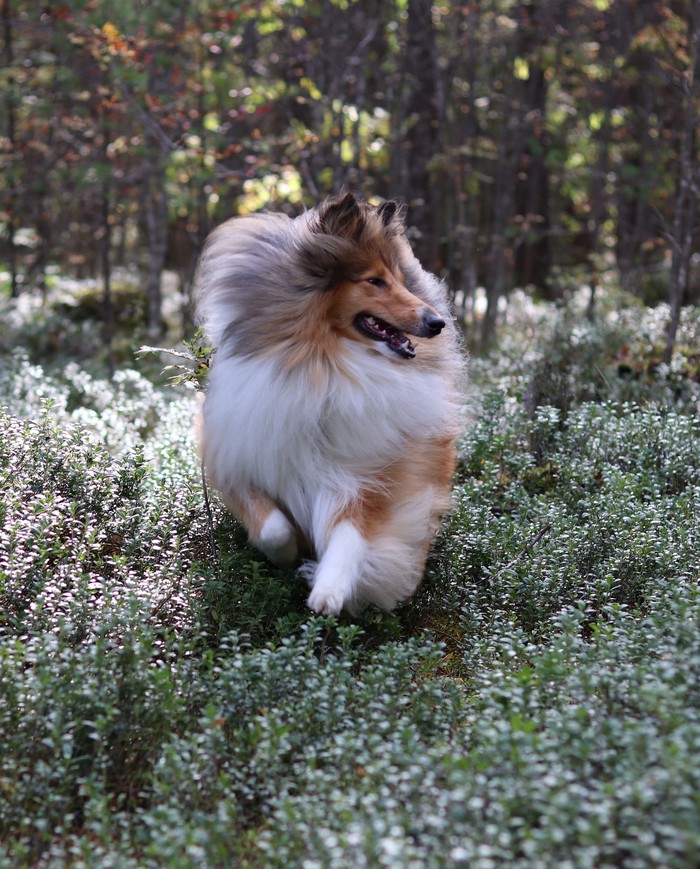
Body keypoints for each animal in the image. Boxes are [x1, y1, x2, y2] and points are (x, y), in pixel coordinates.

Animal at [196, 192, 464, 612]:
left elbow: (351, 531)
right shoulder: (238, 458)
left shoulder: (366, 478)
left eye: (402, 279)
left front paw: (329, 590)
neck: (329, 366)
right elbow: (273, 528)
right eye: (375, 281)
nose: (438, 323)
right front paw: (289, 554)